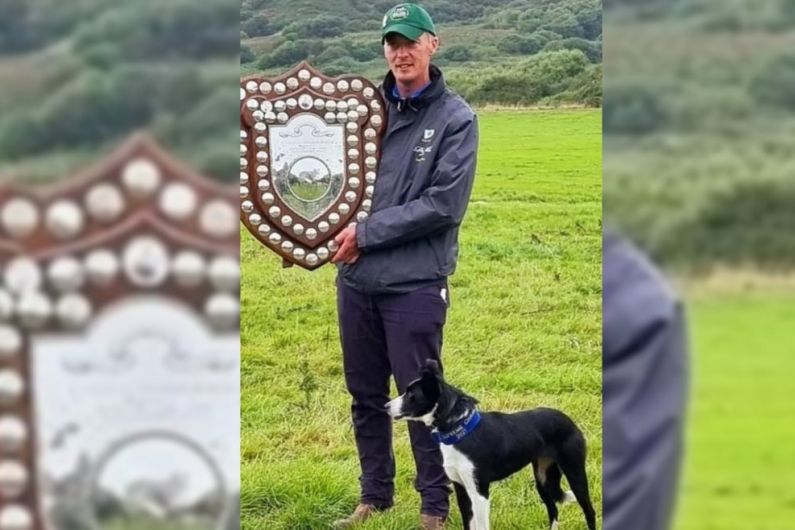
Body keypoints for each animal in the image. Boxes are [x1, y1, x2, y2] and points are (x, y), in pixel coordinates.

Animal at [386, 358, 596, 528]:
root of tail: (569, 421)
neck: (460, 433)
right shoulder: (461, 489)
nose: (385, 406)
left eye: (411, 395)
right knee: (553, 510)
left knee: (589, 512)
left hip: (575, 473)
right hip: (543, 479)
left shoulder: (480, 493)